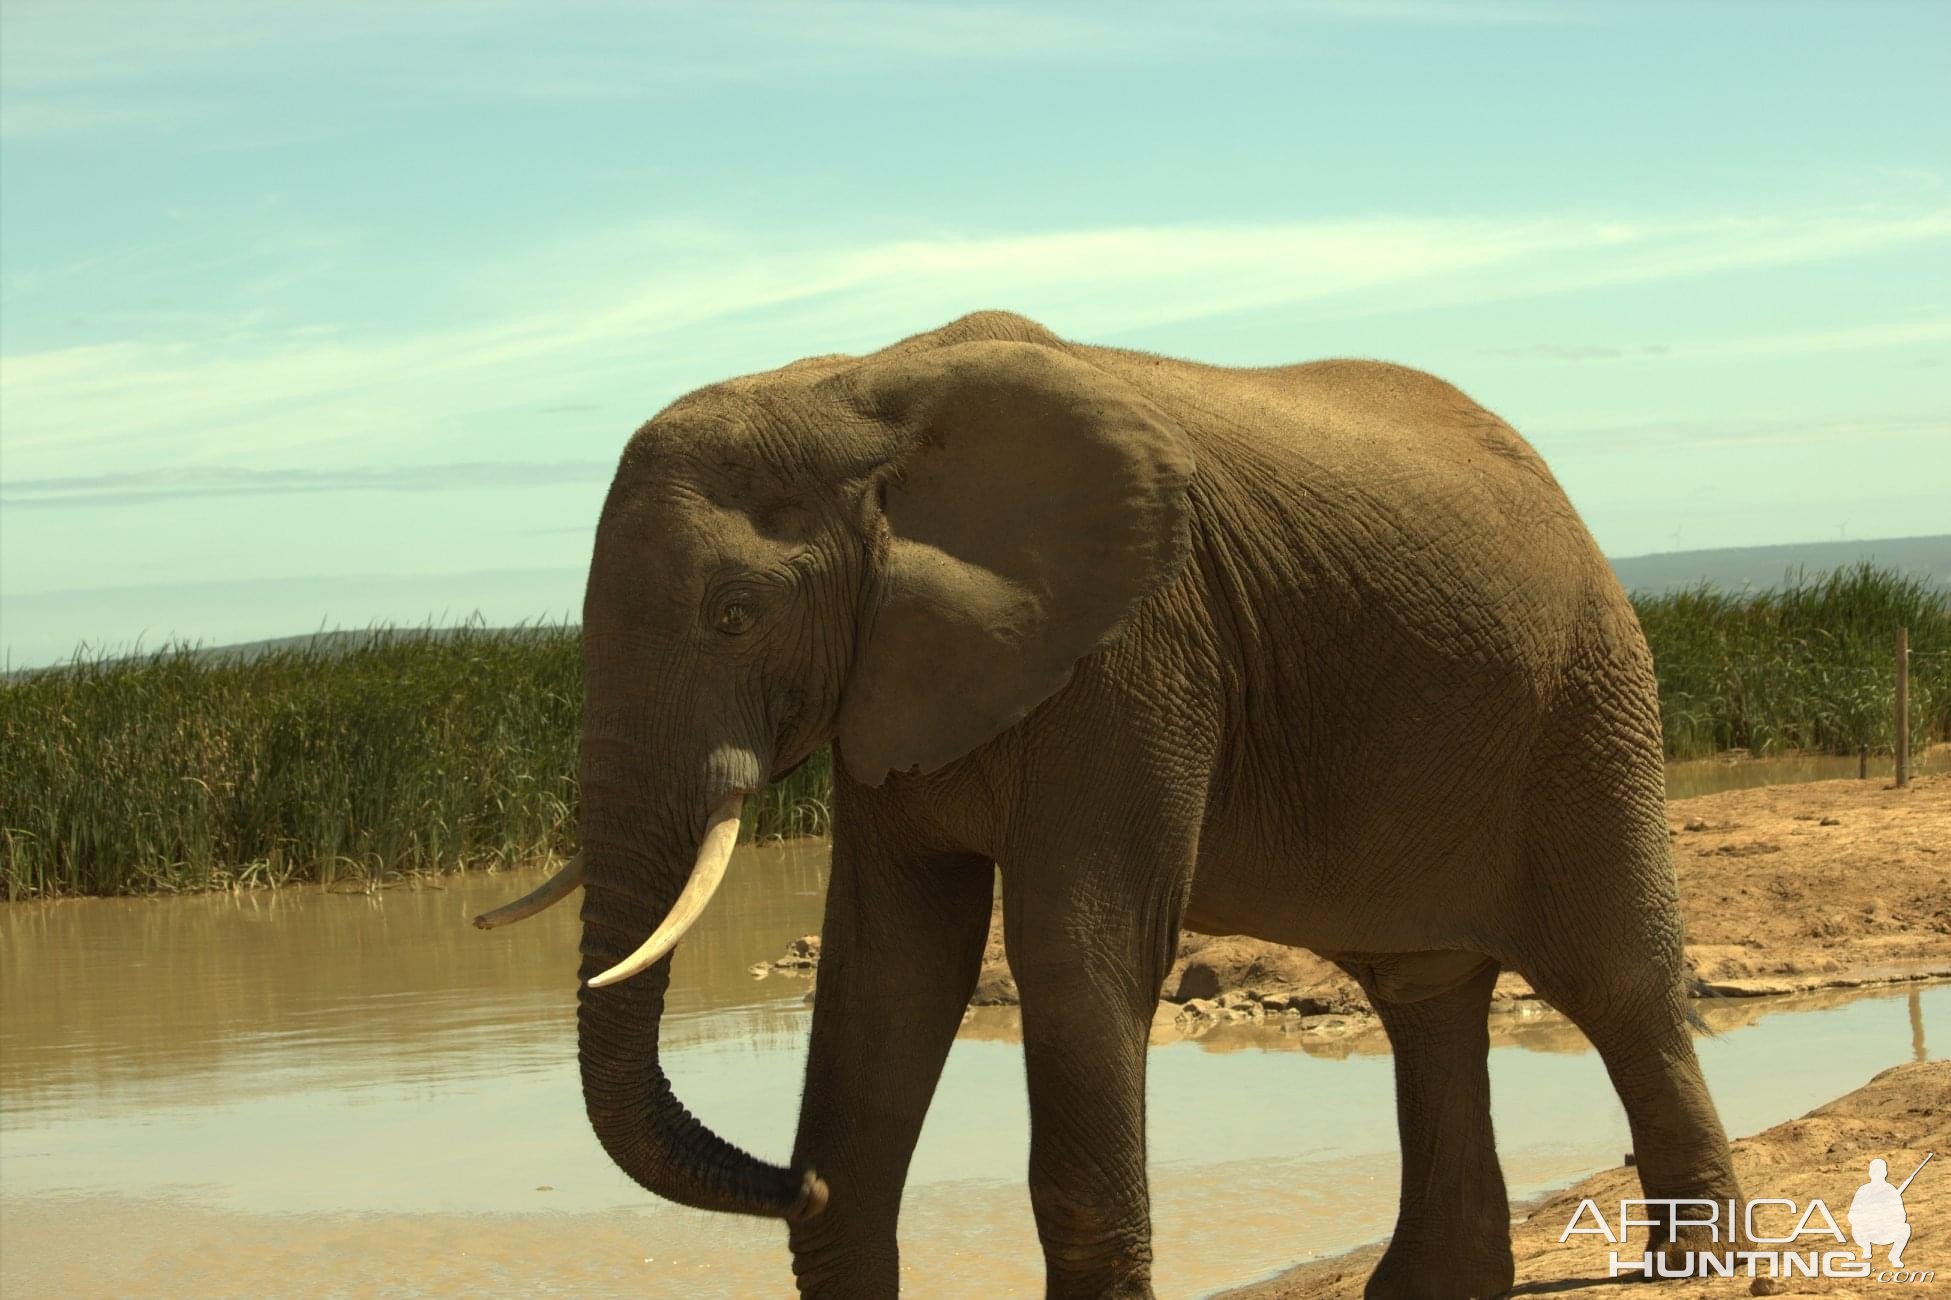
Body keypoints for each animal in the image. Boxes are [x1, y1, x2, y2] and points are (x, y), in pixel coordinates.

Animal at [479, 314, 1748, 1296]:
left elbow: (1076, 945)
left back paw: (1702, 1269)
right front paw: (841, 1177)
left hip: (1587, 702)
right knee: (1424, 996)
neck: (857, 392)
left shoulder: (1137, 651)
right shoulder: (893, 675)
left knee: (1615, 978)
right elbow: (894, 964)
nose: (797, 1176)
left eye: (736, 614)